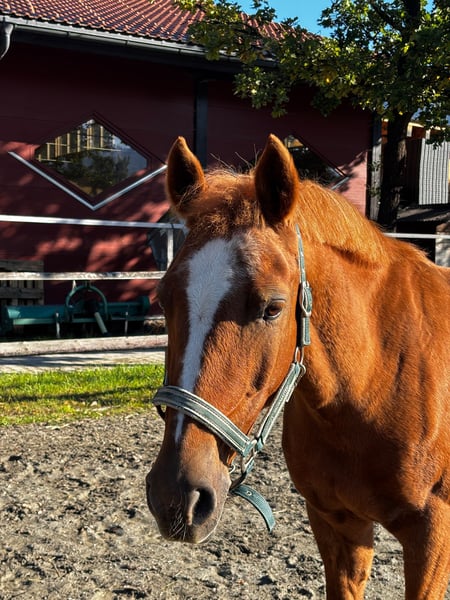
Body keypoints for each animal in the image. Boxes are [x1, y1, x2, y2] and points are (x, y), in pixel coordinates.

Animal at [146, 134, 450, 599]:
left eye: (272, 307)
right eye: (163, 299)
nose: (176, 496)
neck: (377, 383)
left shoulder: (433, 535)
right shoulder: (336, 523)